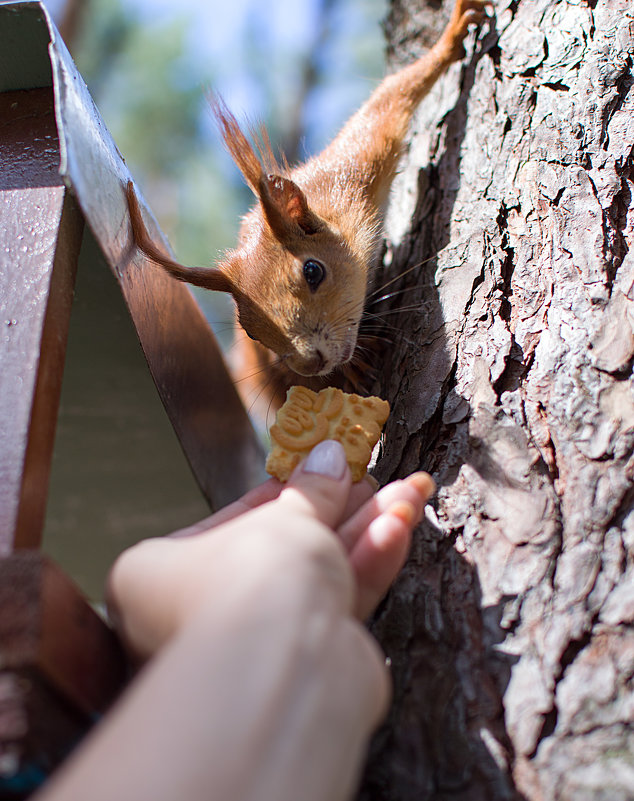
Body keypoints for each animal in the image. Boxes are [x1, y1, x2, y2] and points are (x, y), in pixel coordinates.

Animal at [127, 0, 488, 412]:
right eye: (249, 328)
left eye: (313, 271)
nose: (309, 363)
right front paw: (349, 368)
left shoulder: (357, 168)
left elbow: (390, 98)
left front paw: (451, 37)